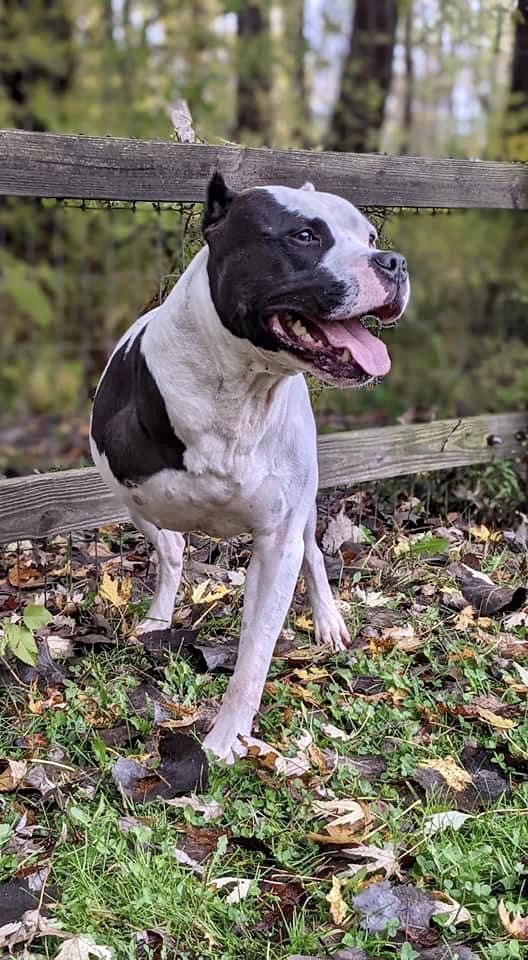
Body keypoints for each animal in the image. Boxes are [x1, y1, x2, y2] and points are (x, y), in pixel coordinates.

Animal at [91, 171, 410, 756]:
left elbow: (255, 652)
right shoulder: (128, 490)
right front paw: (161, 611)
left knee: (313, 551)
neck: (238, 390)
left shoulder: (278, 538)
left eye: (371, 237)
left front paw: (225, 740)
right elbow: (169, 549)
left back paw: (328, 619)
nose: (393, 261)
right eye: (304, 235)